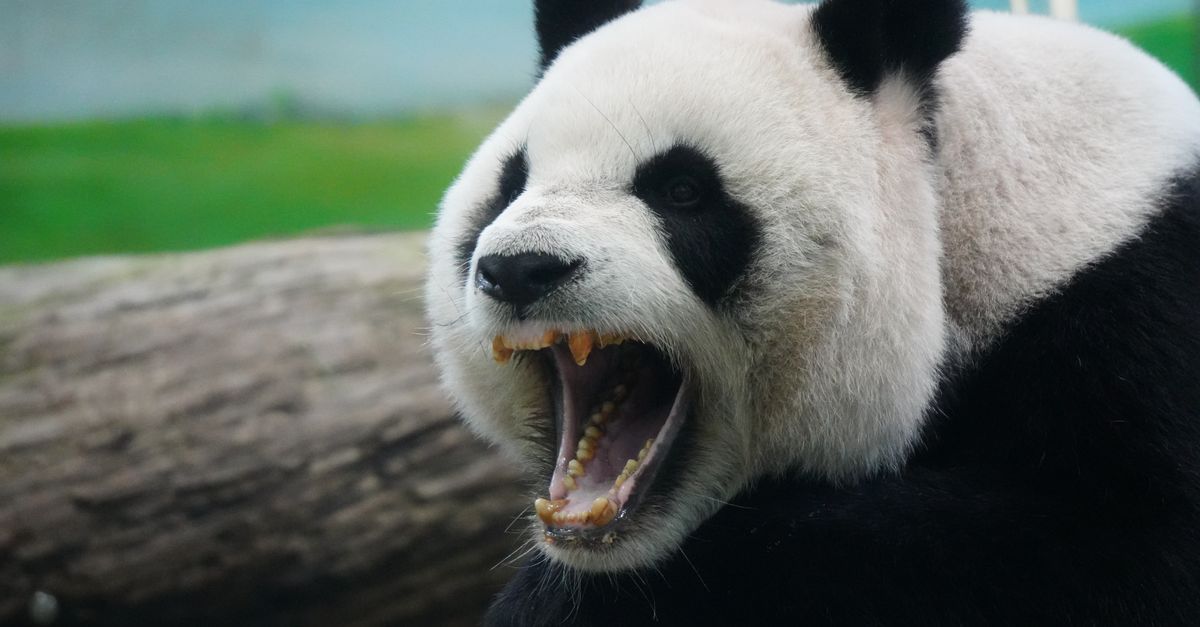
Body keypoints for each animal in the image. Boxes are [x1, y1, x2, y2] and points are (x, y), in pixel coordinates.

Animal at [425, 0, 1200, 624]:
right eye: (511, 185)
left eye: (682, 189)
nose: (520, 268)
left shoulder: (1129, 317)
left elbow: (1110, 548)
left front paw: (557, 603)